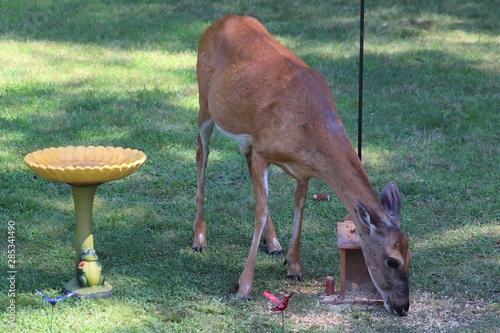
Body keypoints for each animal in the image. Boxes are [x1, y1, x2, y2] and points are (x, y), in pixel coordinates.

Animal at [191, 14, 410, 316]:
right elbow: (261, 211)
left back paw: (273, 244)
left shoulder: (301, 168)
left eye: (410, 254)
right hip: (204, 103)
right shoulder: (264, 151)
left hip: (248, 135)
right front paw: (244, 286)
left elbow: (300, 207)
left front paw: (294, 267)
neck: (309, 128)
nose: (403, 307)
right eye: (392, 260)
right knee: (201, 154)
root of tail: (220, 21)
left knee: (243, 161)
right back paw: (199, 239)